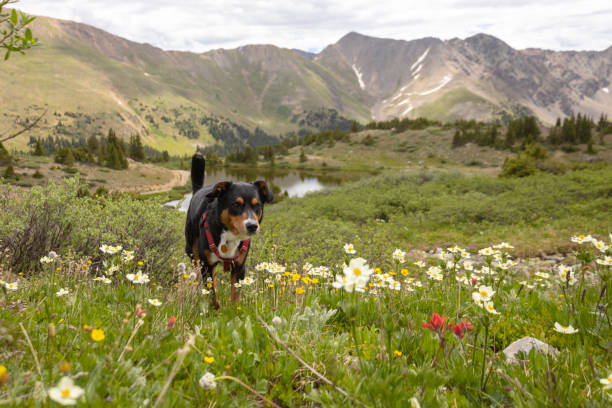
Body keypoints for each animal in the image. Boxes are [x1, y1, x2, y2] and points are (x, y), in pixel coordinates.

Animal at [184, 153, 272, 310]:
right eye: (236, 204)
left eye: (257, 205)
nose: (252, 226)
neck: (230, 236)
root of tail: (198, 190)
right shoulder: (207, 265)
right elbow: (212, 295)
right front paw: (216, 311)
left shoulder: (239, 266)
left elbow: (235, 295)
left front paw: (234, 310)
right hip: (192, 250)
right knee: (196, 271)